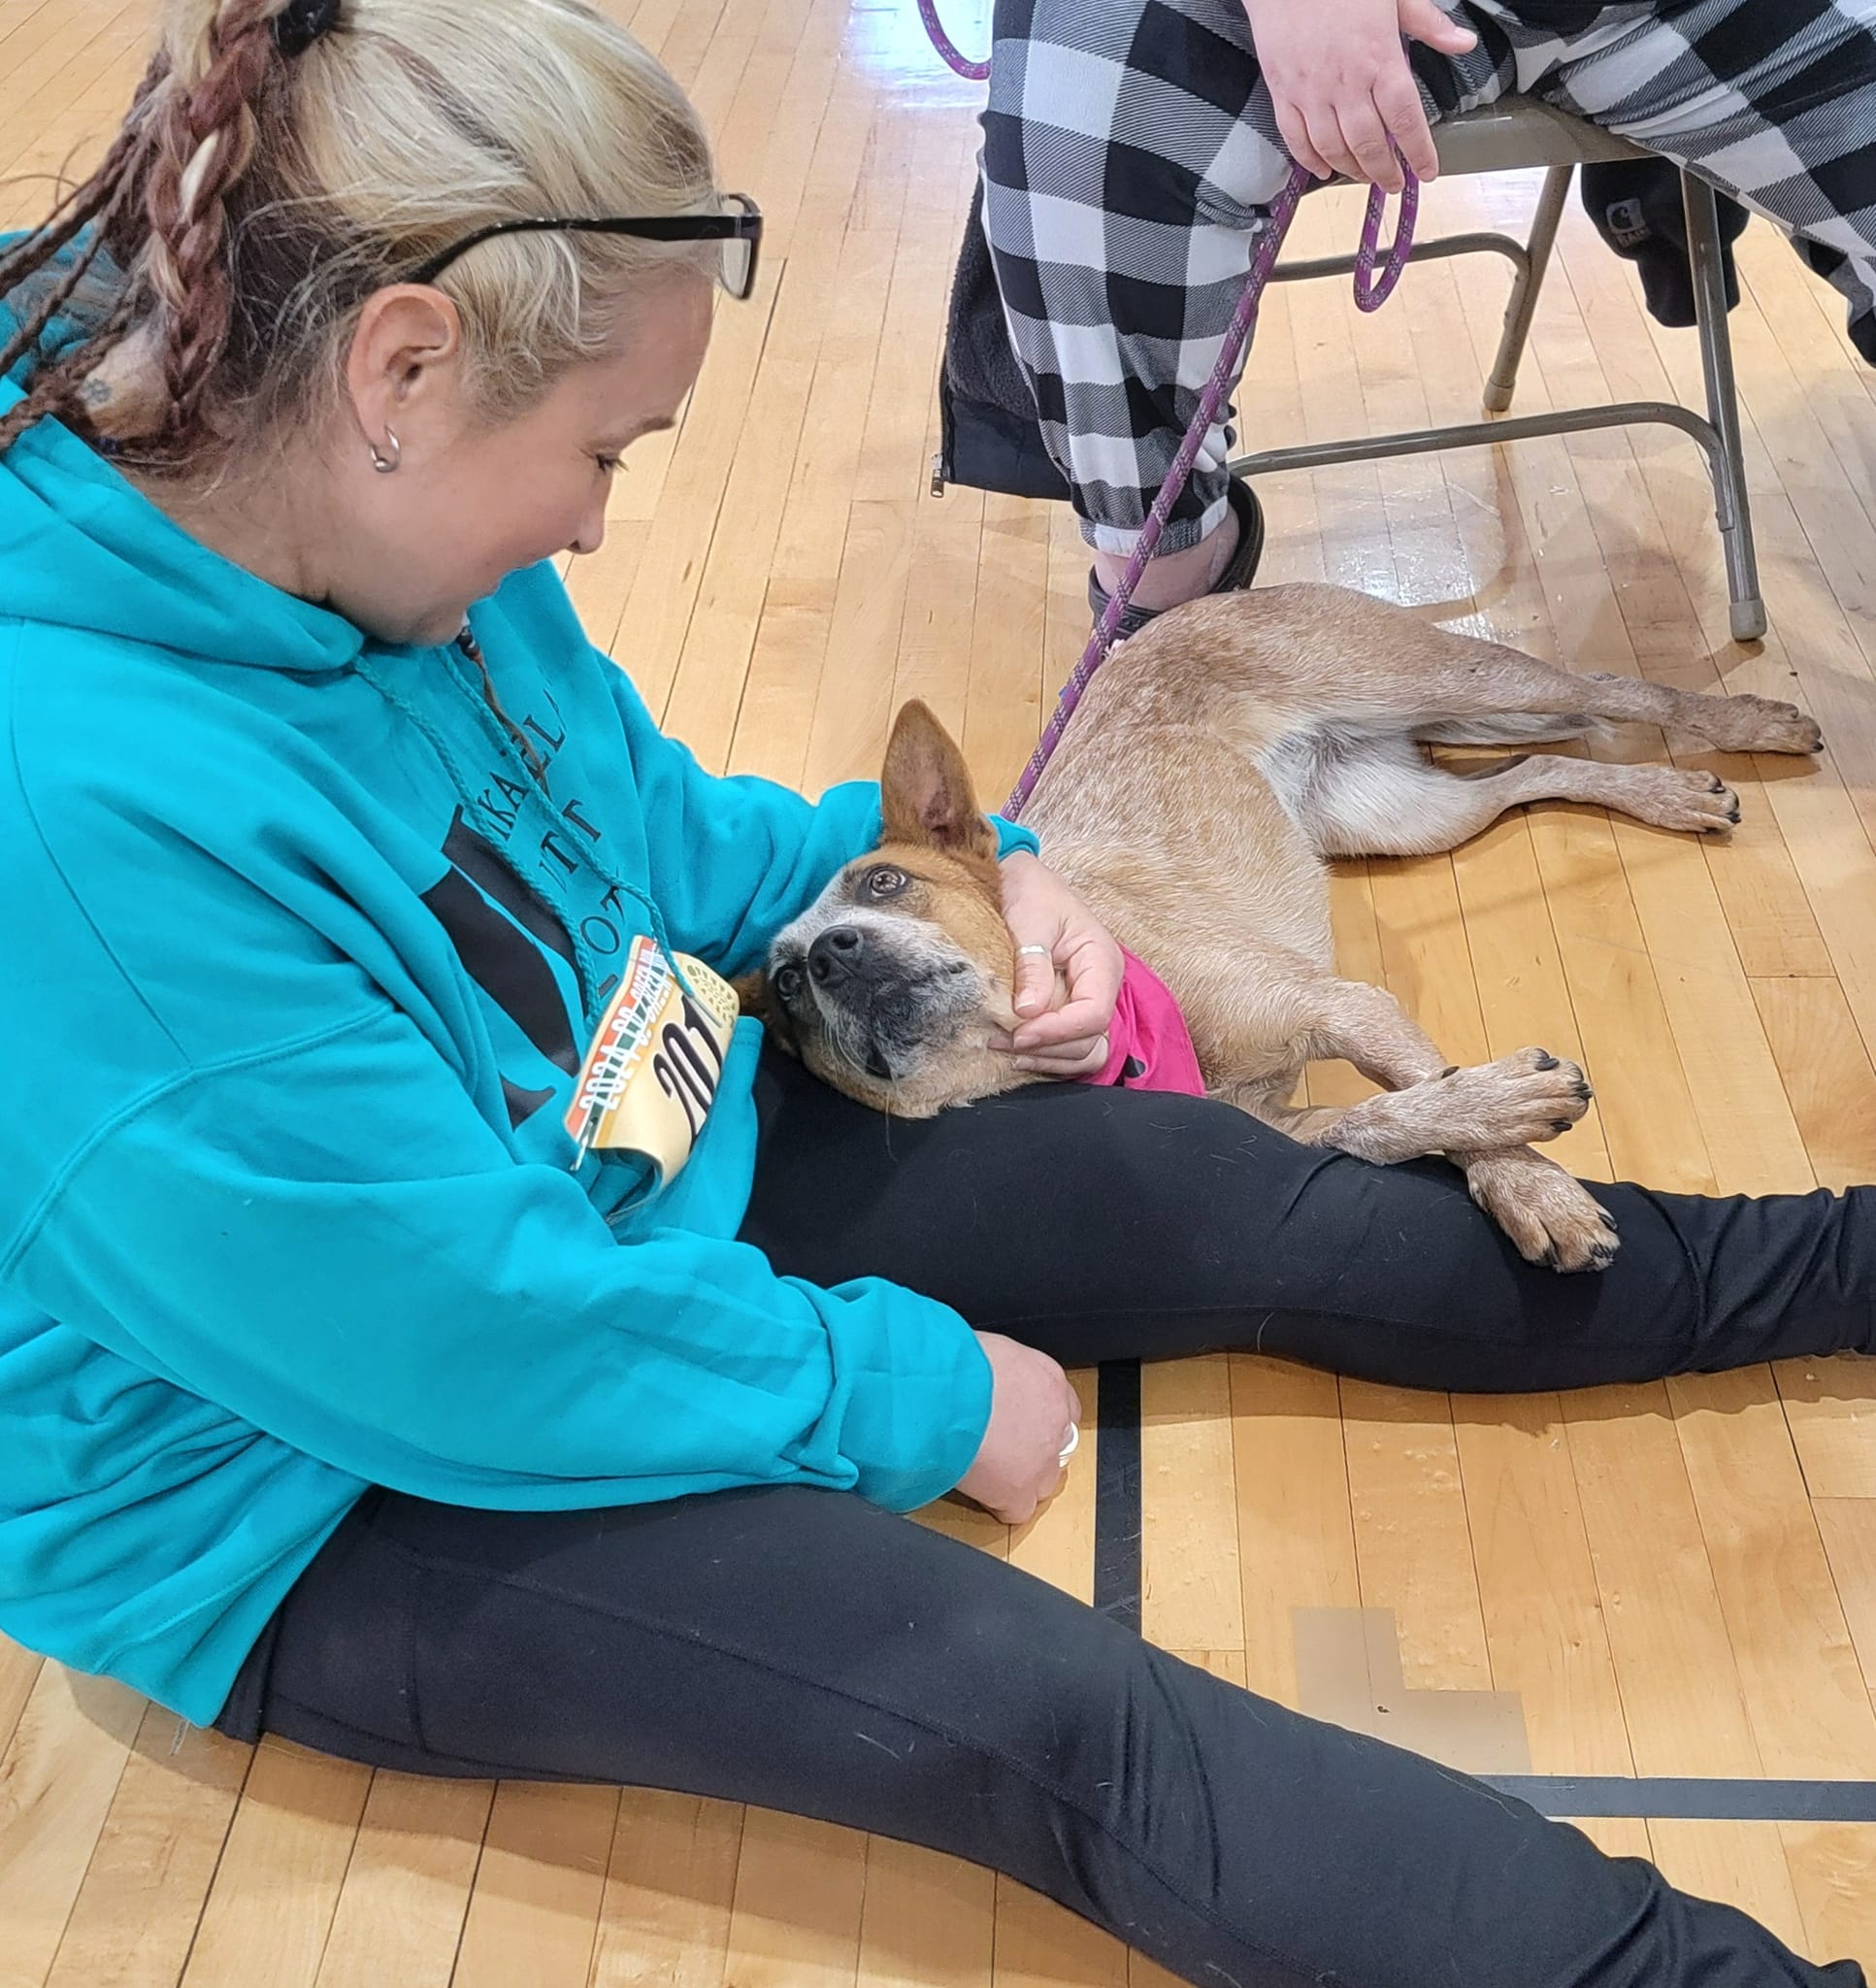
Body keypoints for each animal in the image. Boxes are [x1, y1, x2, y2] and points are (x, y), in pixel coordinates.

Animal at [750, 584, 1823, 1271]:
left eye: (885, 880)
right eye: (789, 987)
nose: (832, 954)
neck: (1106, 1044)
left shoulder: (1344, 1003)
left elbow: (1420, 1087)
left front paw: (1530, 1183)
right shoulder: (1284, 1127)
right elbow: (1386, 1116)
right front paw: (1504, 1138)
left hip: (1444, 678)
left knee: (1615, 690)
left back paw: (1752, 723)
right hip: (1405, 813)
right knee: (1539, 769)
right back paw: (1663, 793)